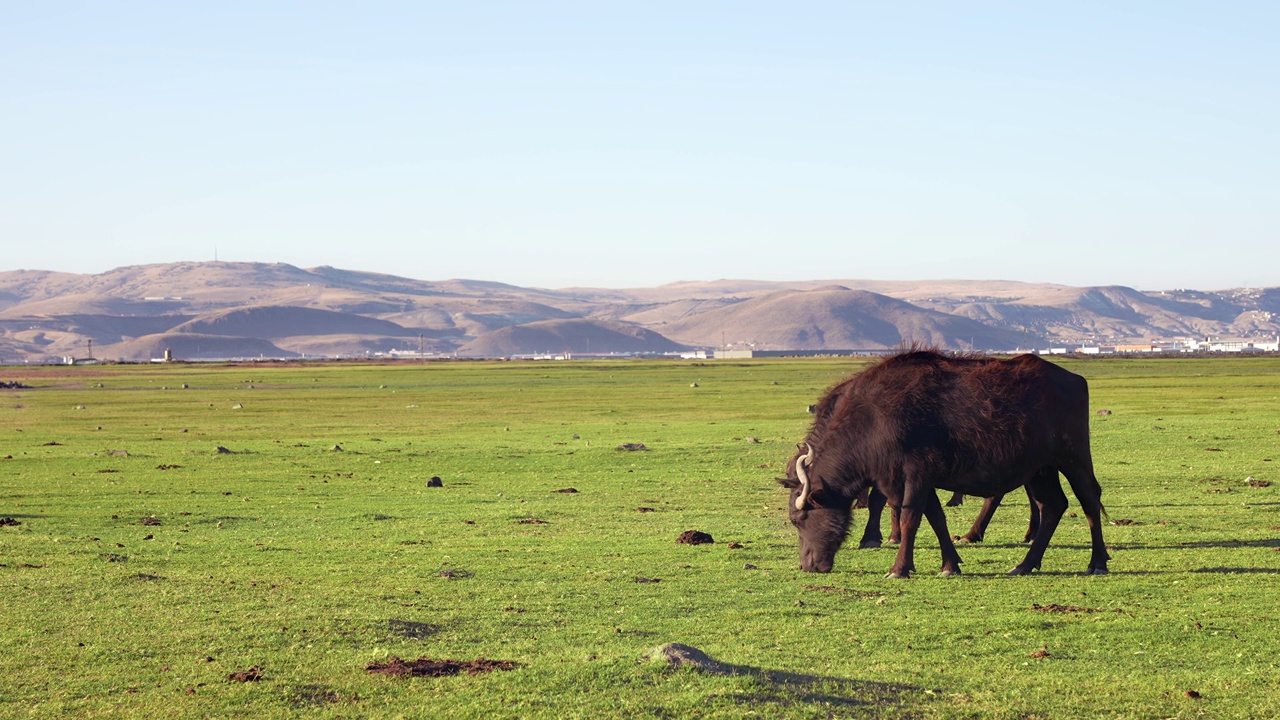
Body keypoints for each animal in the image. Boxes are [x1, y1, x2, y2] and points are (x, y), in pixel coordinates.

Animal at [778, 348, 1111, 576]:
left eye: (799, 520)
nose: (807, 564)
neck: (874, 419)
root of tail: (1075, 379)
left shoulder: (914, 475)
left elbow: (909, 518)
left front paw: (899, 568)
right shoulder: (920, 480)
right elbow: (936, 518)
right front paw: (950, 564)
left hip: (1074, 458)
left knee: (1089, 499)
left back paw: (1097, 562)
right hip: (1041, 470)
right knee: (1053, 506)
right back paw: (1025, 564)